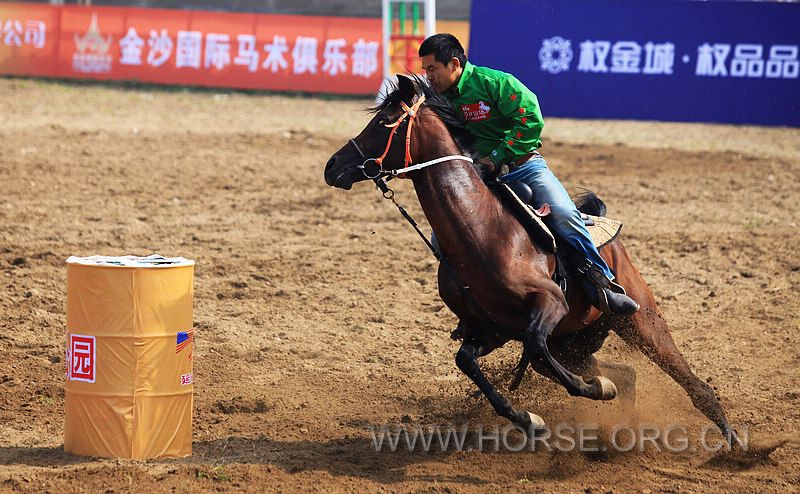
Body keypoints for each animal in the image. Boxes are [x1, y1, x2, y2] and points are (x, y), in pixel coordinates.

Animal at [324, 75, 744, 446]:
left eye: (383, 121)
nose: (332, 167)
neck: (483, 231)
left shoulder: (549, 303)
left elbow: (535, 345)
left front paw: (593, 392)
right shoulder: (489, 328)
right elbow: (468, 361)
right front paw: (530, 420)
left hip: (640, 321)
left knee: (693, 384)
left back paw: (736, 444)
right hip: (575, 341)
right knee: (624, 374)